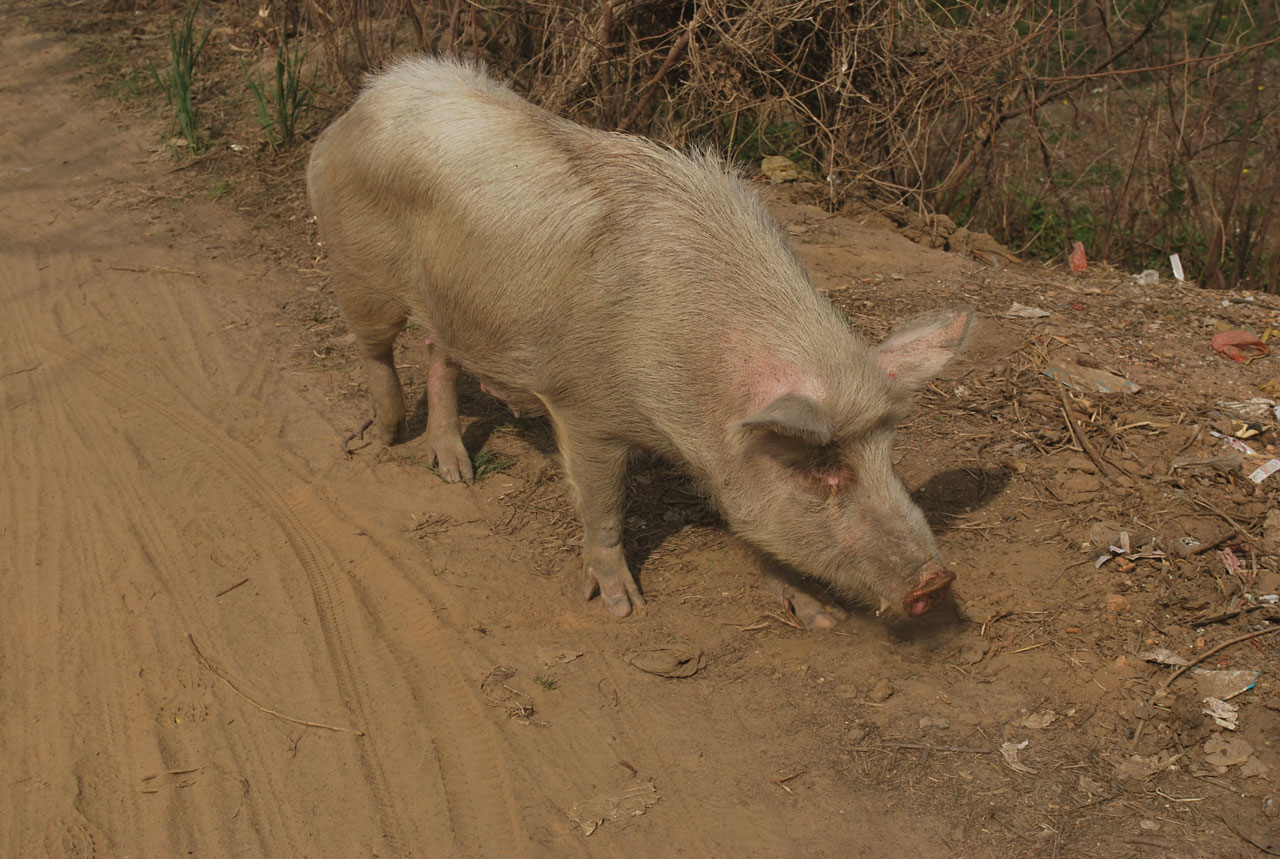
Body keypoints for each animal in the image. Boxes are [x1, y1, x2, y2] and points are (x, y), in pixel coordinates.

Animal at [307, 58, 967, 624]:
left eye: (887, 456)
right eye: (823, 470)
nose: (937, 582)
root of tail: (367, 97)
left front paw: (819, 617)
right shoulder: (583, 407)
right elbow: (604, 506)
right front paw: (624, 607)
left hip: (459, 304)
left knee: (437, 354)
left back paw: (455, 473)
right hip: (356, 265)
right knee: (376, 348)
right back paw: (382, 436)